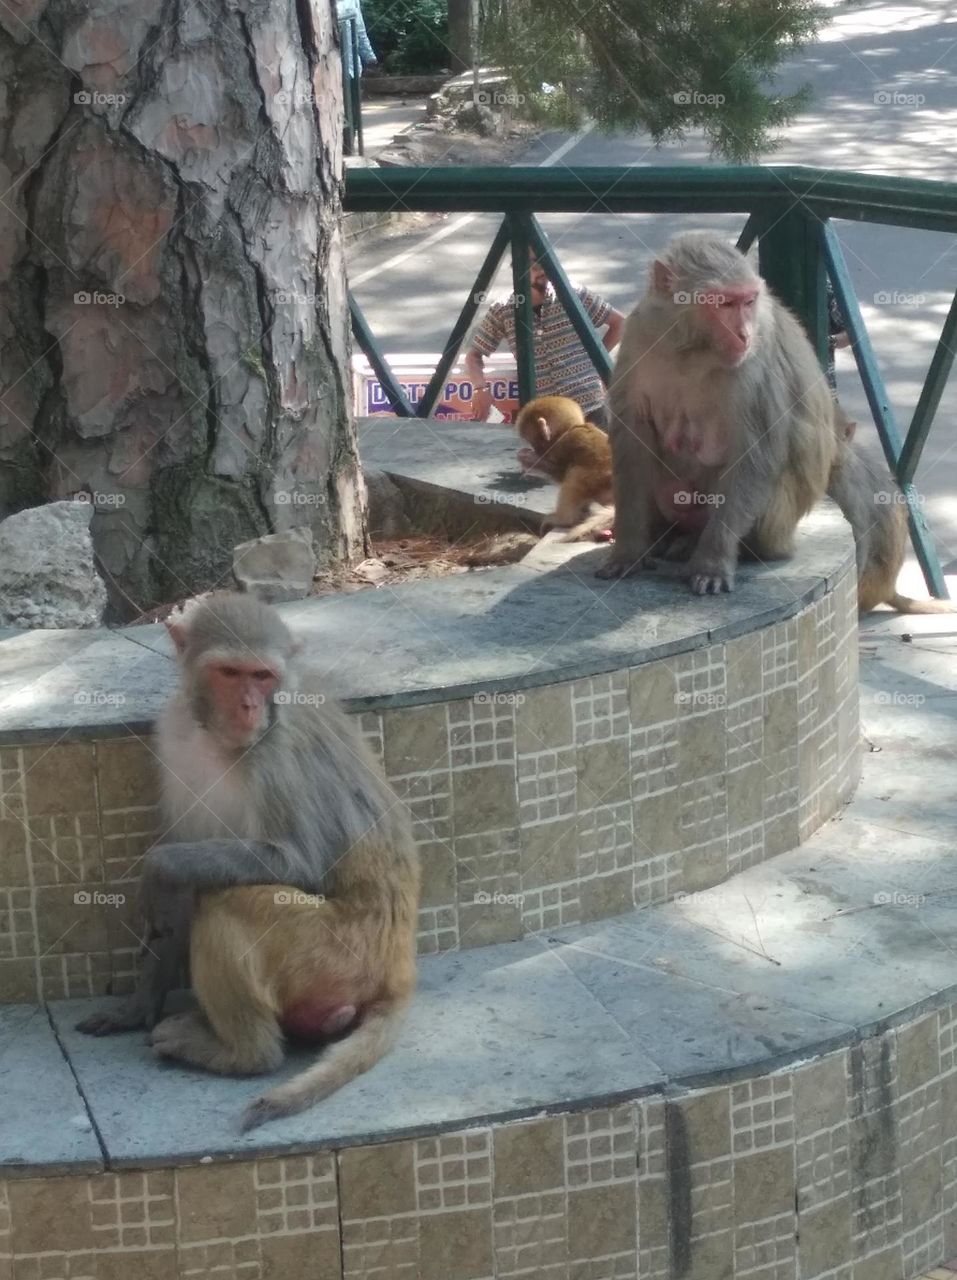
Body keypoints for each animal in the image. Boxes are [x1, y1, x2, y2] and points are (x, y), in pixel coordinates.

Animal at [76, 592, 420, 1130]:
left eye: (262, 676)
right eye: (230, 673)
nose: (249, 707)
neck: (216, 736)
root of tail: (399, 964)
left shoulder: (275, 751)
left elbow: (299, 861)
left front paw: (160, 868)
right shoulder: (174, 736)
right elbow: (182, 881)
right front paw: (138, 1005)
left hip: (339, 953)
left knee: (228, 903)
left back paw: (242, 1055)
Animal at [514, 395, 614, 541]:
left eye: (534, 443)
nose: (536, 450)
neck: (571, 428)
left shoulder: (562, 445)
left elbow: (560, 472)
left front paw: (528, 458)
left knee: (576, 473)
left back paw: (565, 519)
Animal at [596, 231, 955, 613]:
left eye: (748, 301)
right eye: (724, 303)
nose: (742, 334)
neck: (690, 348)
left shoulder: (752, 362)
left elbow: (756, 452)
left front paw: (713, 561)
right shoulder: (639, 334)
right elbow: (631, 443)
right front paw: (628, 551)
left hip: (779, 524)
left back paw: (707, 545)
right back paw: (669, 538)